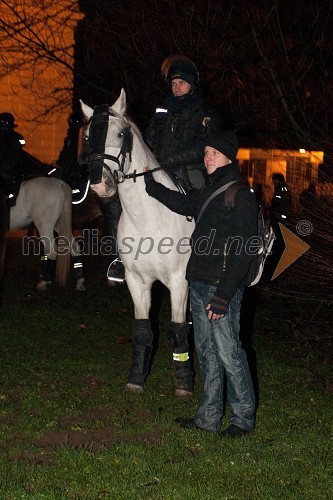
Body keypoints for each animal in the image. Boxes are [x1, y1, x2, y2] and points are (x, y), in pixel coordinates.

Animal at [81, 89, 195, 394]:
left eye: (121, 133)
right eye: (87, 136)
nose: (100, 185)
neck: (149, 217)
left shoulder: (179, 281)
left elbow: (177, 328)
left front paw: (184, 382)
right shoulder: (136, 280)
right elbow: (143, 330)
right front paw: (135, 379)